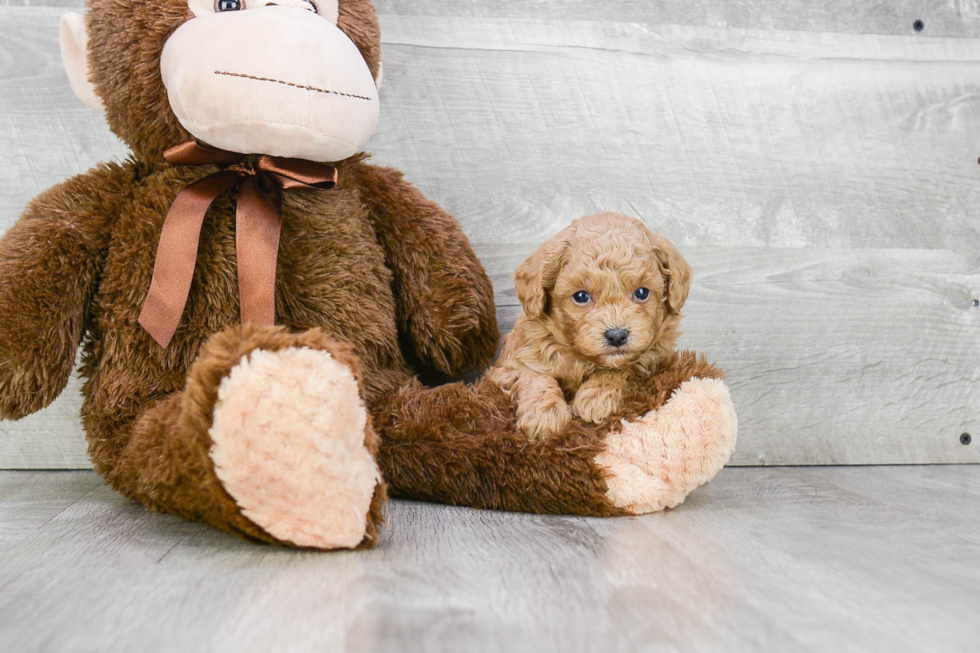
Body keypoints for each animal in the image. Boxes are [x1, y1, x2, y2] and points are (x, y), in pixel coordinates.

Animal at [488, 213, 688, 438]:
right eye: (581, 296)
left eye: (642, 292)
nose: (617, 336)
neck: (582, 358)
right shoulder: (506, 369)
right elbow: (534, 377)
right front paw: (544, 413)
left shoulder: (653, 358)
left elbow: (623, 368)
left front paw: (595, 397)